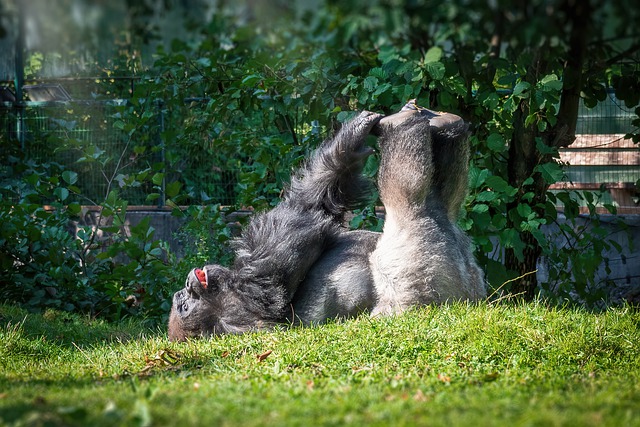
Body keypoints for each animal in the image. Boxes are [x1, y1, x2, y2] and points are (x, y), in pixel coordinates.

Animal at [168, 101, 485, 341]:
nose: (186, 284)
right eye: (184, 305)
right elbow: (302, 213)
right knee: (410, 199)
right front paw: (352, 136)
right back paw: (403, 125)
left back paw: (446, 124)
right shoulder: (247, 295)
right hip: (414, 278)